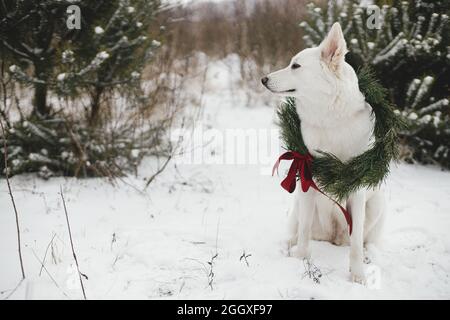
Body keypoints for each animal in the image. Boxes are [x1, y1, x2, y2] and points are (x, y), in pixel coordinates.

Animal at [262, 21, 384, 282]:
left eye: (295, 65)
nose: (263, 79)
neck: (330, 120)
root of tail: (333, 238)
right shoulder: (307, 181)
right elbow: (303, 233)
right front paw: (300, 261)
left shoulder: (357, 188)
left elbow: (356, 244)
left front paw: (358, 275)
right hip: (298, 202)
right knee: (296, 233)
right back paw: (286, 247)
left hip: (377, 202)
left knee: (364, 241)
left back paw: (368, 256)